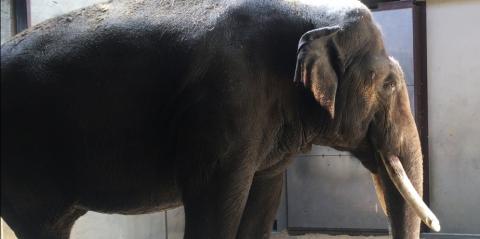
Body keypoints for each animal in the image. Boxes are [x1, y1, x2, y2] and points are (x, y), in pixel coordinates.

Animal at [1, 0, 440, 239]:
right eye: (388, 85)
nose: (436, 225)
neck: (306, 11)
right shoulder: (226, 102)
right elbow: (216, 203)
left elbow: (261, 203)